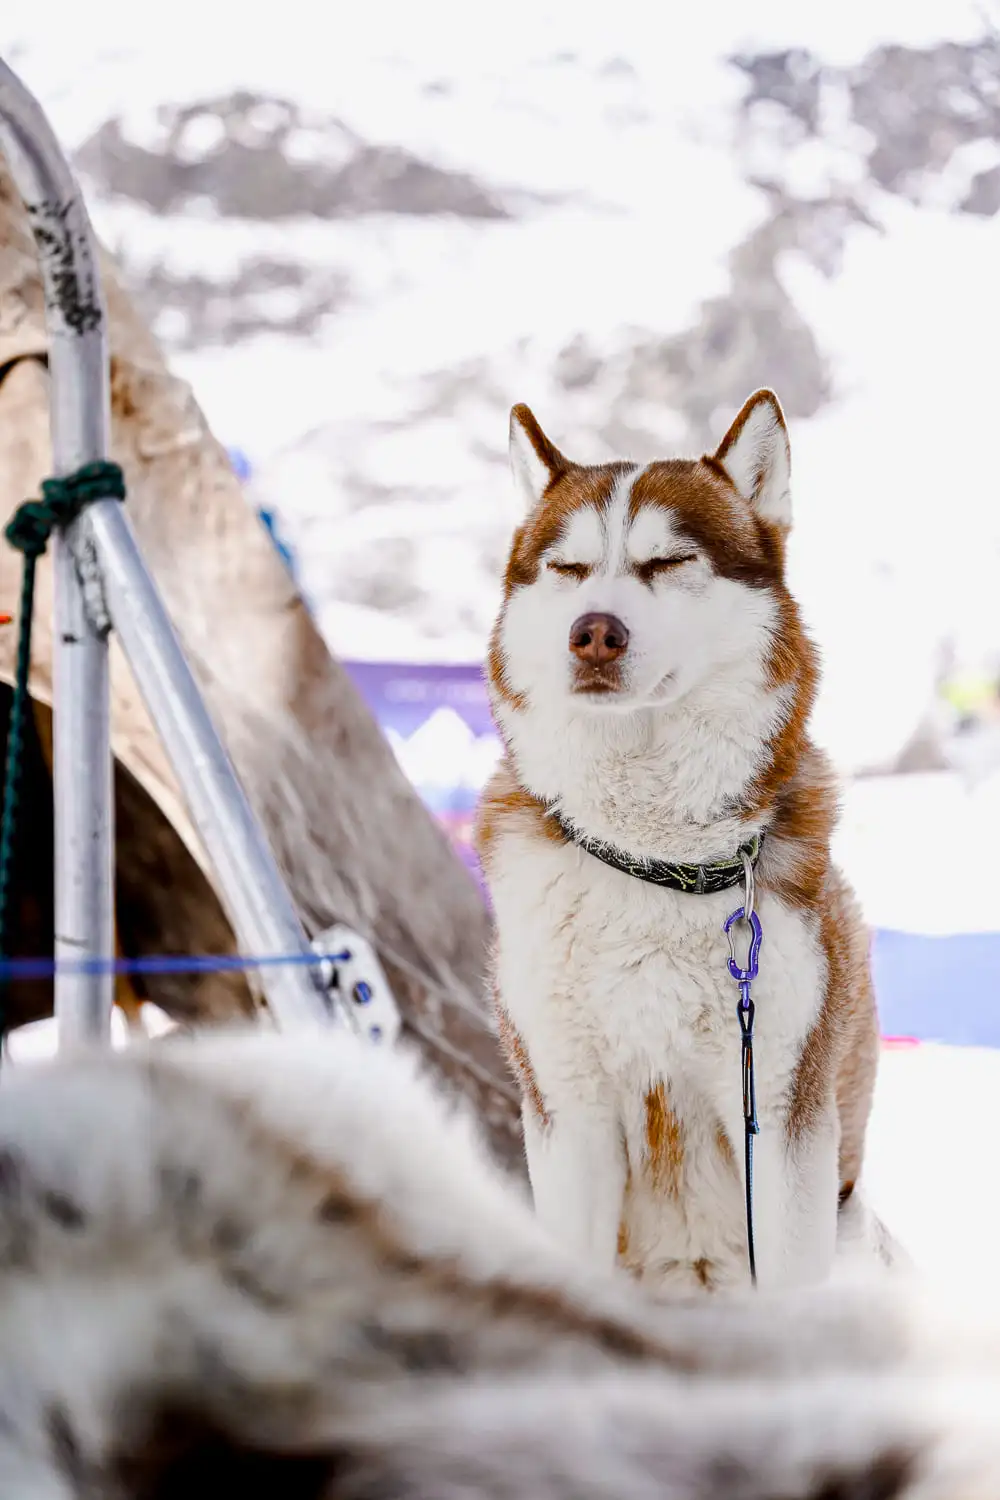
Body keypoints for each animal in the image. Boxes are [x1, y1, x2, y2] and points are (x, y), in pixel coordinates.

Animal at [475, 390, 885, 1296]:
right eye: (567, 569)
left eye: (667, 562)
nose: (594, 632)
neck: (651, 859)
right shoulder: (569, 1110)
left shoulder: (781, 1116)